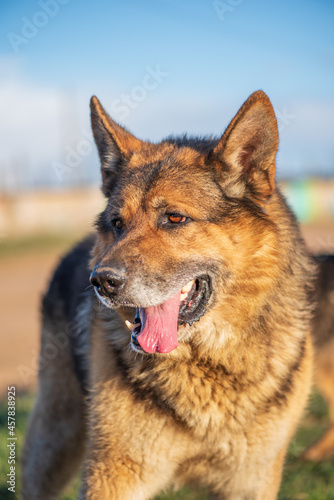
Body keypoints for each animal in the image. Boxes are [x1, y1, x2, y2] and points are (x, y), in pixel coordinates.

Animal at [22, 91, 316, 500]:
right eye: (117, 224)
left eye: (175, 218)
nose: (101, 281)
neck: (206, 366)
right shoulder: (113, 475)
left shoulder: (251, 481)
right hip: (53, 441)